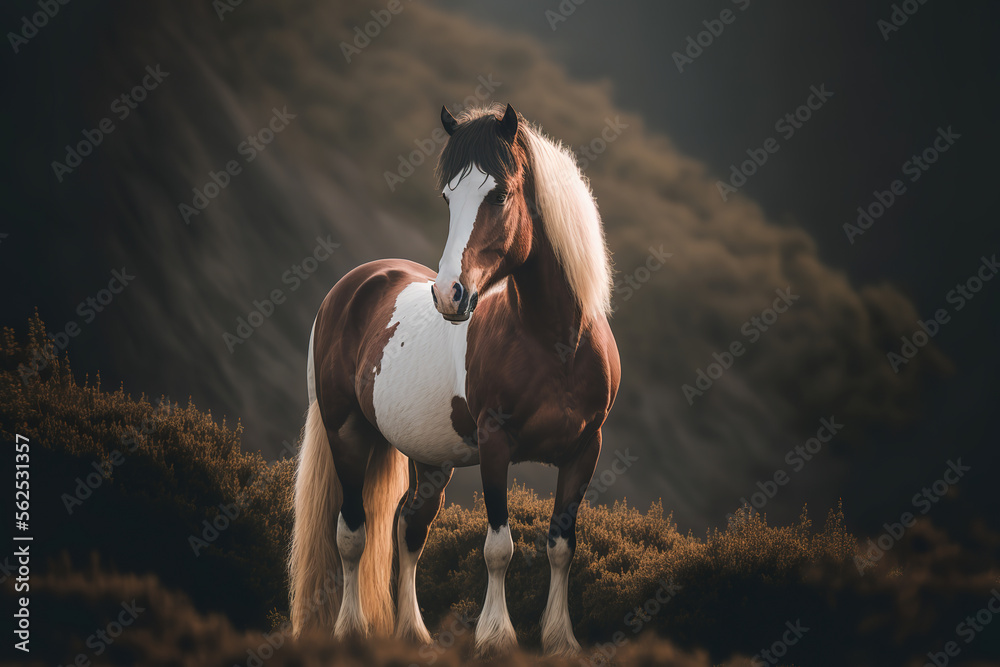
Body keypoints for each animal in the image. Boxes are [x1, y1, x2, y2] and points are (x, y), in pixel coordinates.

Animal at [288, 102, 621, 657]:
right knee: (352, 533)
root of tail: (355, 283)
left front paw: (560, 640)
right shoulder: (495, 443)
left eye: (501, 194)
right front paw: (496, 638)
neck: (556, 346)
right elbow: (498, 547)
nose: (449, 294)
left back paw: (413, 633)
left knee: (408, 530)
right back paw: (351, 630)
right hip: (347, 431)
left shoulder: (584, 449)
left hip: (430, 460)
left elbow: (561, 545)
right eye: (448, 196)